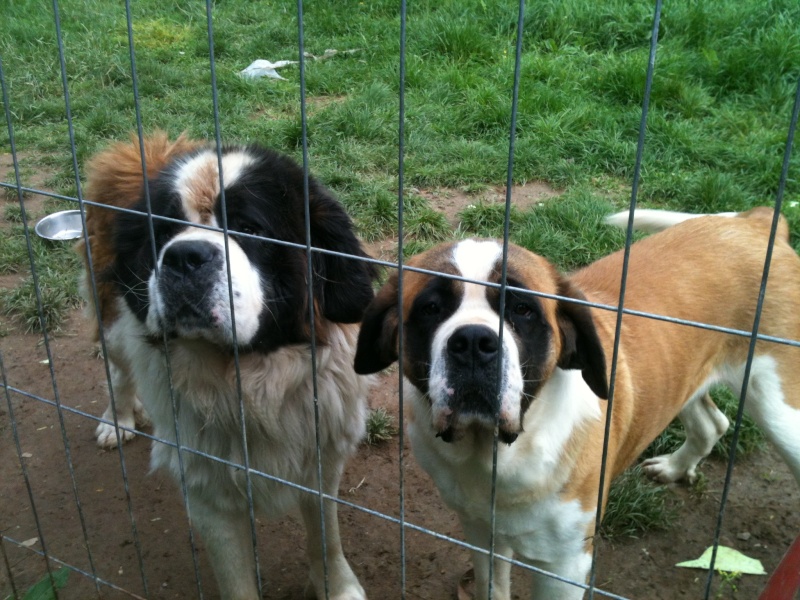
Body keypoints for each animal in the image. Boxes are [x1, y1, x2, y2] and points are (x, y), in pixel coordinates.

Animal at [78, 132, 376, 600]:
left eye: (249, 229)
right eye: (163, 232)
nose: (183, 256)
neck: (249, 379)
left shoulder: (321, 453)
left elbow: (326, 536)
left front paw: (339, 588)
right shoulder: (205, 486)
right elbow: (235, 576)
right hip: (112, 321)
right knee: (119, 370)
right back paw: (118, 418)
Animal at [354, 207, 800, 600]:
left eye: (522, 309)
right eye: (431, 308)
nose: (473, 342)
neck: (499, 456)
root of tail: (756, 224)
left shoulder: (564, 567)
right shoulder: (482, 536)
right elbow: (490, 586)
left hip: (779, 409)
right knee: (712, 422)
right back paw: (675, 467)